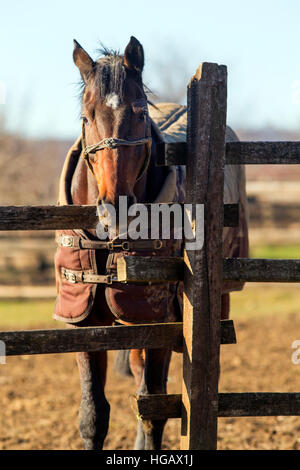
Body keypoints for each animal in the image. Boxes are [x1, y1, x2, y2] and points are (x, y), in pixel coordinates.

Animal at [54, 35, 248, 448]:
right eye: (86, 116)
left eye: (141, 112)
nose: (115, 204)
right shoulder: (85, 321)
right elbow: (93, 414)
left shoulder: (157, 318)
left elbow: (153, 409)